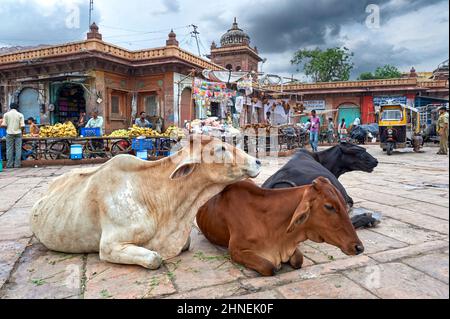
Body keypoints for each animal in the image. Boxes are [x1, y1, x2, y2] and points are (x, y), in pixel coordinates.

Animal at [198, 178, 366, 278]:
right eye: (329, 206)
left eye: (344, 204)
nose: (359, 247)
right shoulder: (235, 251)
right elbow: (269, 267)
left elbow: (298, 260)